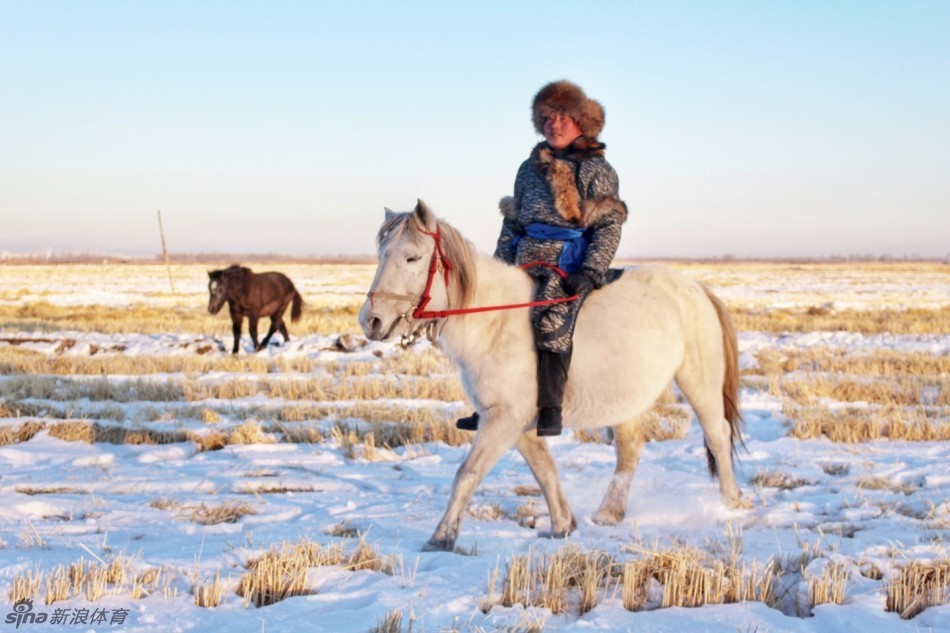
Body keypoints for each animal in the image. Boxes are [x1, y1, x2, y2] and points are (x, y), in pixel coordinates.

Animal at [358, 200, 744, 552]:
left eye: (413, 258)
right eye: (382, 254)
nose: (371, 321)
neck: (493, 321)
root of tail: (697, 289)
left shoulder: (505, 419)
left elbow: (467, 473)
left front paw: (440, 538)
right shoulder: (516, 424)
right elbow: (545, 471)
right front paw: (563, 526)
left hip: (699, 381)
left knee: (718, 435)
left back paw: (732, 505)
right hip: (626, 399)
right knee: (630, 449)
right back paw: (608, 514)